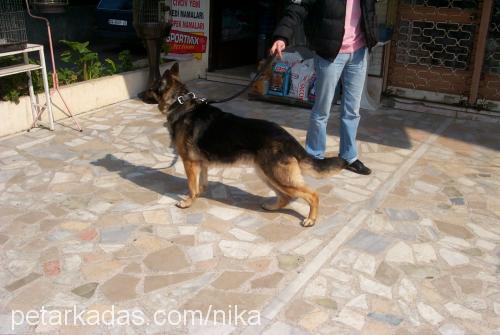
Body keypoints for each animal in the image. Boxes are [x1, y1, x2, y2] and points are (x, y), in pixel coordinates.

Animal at [154, 63, 346, 227]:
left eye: (152, 87)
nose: (144, 93)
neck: (181, 103)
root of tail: (287, 137)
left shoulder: (189, 163)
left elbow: (191, 186)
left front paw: (188, 202)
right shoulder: (201, 164)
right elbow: (201, 183)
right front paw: (199, 194)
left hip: (277, 176)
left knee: (312, 195)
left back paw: (310, 219)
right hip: (266, 174)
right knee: (286, 196)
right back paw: (272, 207)